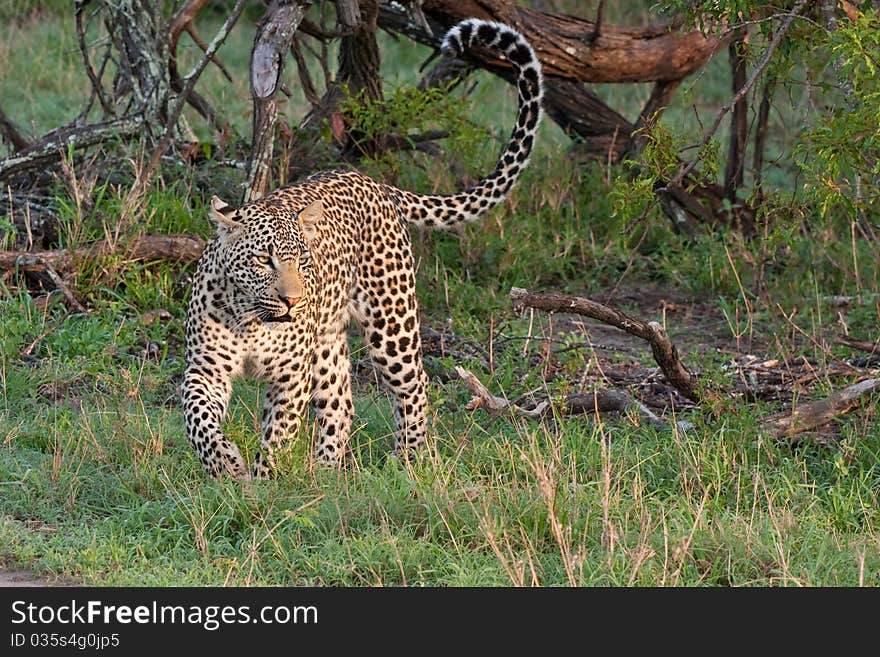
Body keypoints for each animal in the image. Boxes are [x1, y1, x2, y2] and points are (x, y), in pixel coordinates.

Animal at [184, 15, 544, 476]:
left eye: (301, 260)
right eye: (264, 260)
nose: (294, 302)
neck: (251, 319)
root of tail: (374, 183)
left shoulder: (290, 378)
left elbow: (278, 434)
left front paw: (264, 480)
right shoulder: (205, 370)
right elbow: (197, 418)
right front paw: (225, 463)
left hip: (392, 324)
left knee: (415, 386)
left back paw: (406, 459)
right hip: (328, 341)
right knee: (340, 402)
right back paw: (326, 471)